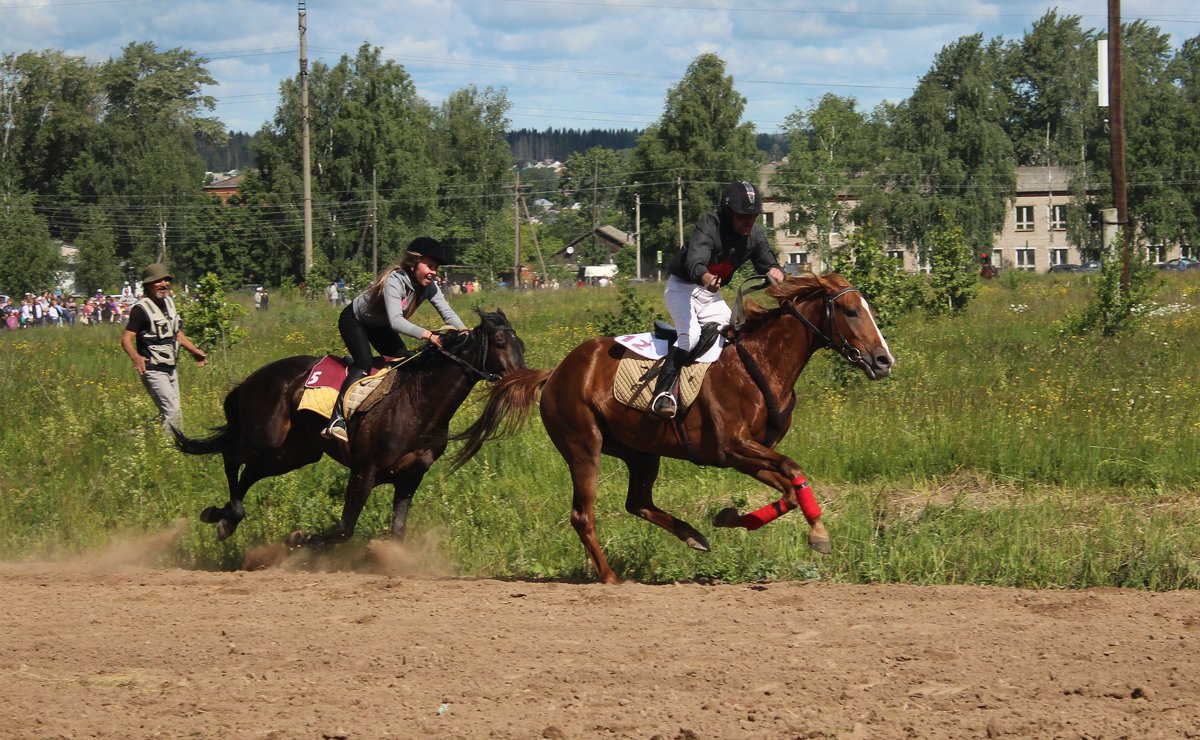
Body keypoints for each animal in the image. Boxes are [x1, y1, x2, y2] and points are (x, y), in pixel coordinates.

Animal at [174, 307, 525, 549]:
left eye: (520, 343)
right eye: (499, 341)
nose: (521, 382)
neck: (417, 401)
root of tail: (251, 380)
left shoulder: (410, 477)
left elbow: (397, 531)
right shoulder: (364, 469)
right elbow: (344, 530)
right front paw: (297, 538)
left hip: (294, 453)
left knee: (250, 471)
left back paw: (223, 518)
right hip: (266, 437)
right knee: (232, 456)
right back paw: (227, 516)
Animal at [453, 274, 897, 580]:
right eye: (851, 311)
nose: (883, 360)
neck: (760, 363)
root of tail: (555, 372)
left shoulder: (746, 453)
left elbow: (788, 488)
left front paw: (732, 519)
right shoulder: (733, 447)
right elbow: (793, 469)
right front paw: (818, 533)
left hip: (640, 451)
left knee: (638, 502)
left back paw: (692, 535)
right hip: (584, 445)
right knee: (583, 515)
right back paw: (610, 577)